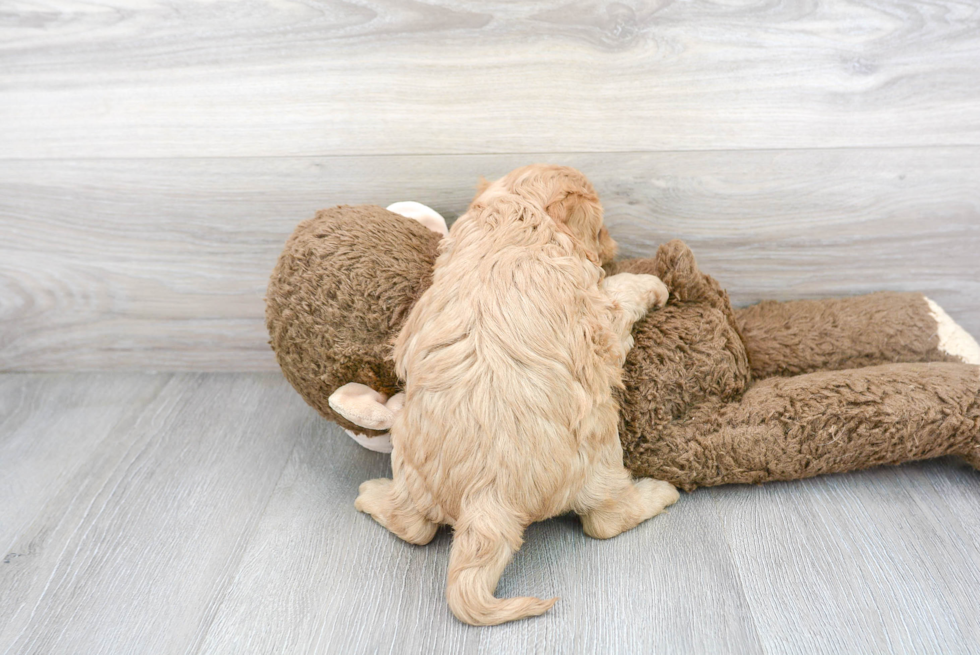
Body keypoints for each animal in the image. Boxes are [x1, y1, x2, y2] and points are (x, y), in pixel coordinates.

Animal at [356, 164, 676, 624]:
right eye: (600, 227)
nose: (614, 247)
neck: (519, 217)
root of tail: (487, 495)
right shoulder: (600, 314)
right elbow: (623, 293)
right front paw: (653, 283)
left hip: (409, 461)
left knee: (413, 526)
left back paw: (371, 495)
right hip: (601, 458)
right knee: (606, 520)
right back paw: (659, 492)